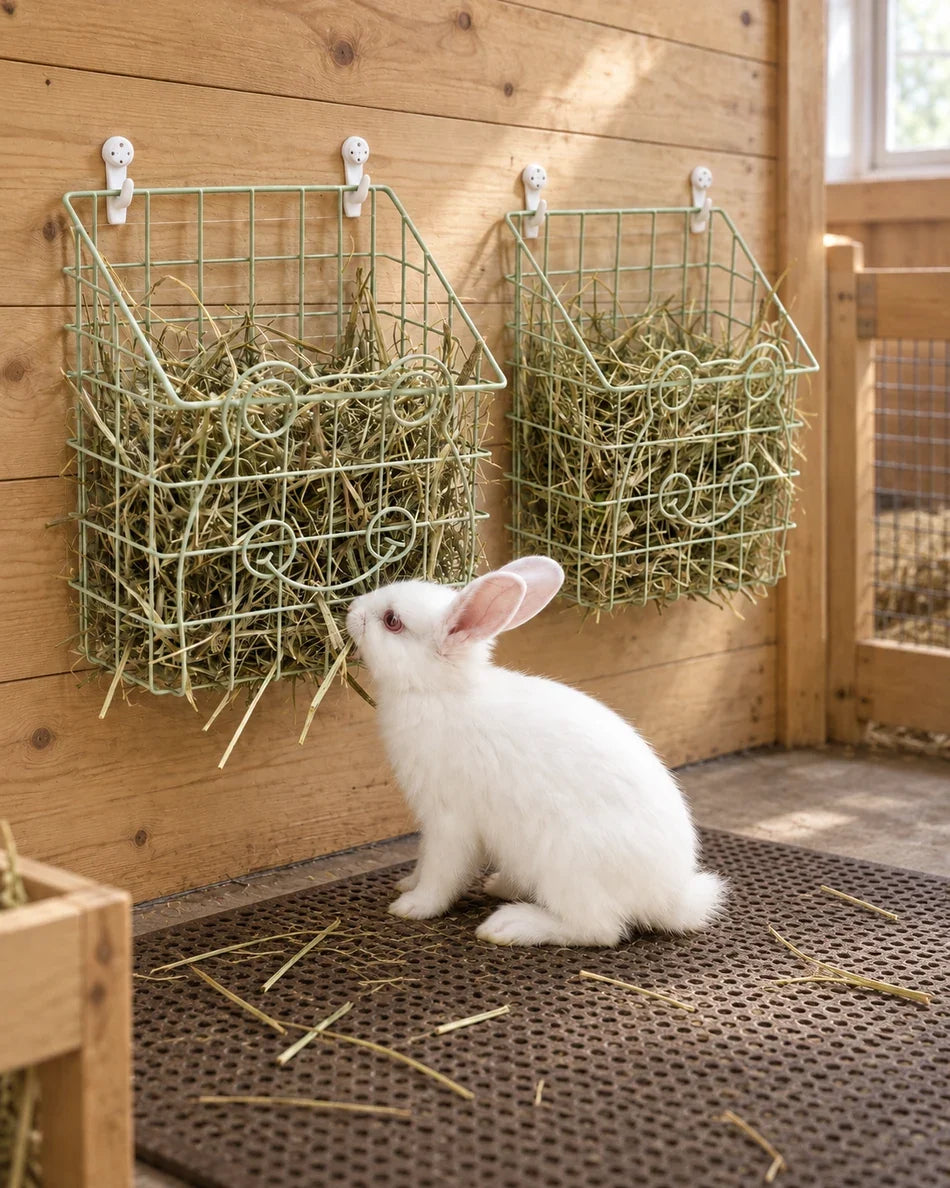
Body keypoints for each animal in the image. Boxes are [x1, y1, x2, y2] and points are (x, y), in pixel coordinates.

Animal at [345, 556, 726, 947]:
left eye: (392, 620)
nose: (352, 609)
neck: (437, 692)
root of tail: (671, 899)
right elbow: (423, 860)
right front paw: (406, 883)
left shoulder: (449, 821)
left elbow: (441, 871)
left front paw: (412, 905)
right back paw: (501, 886)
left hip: (567, 863)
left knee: (598, 929)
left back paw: (509, 925)